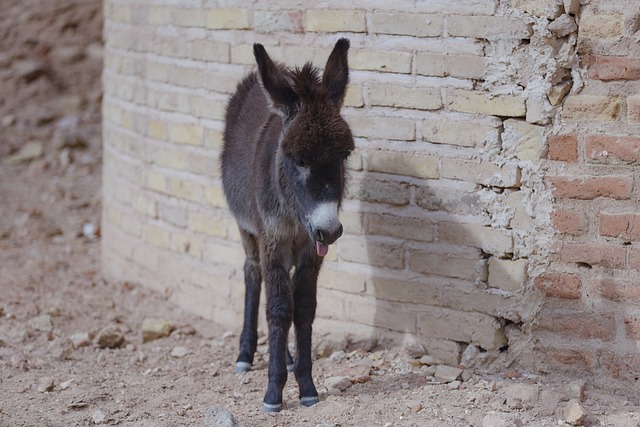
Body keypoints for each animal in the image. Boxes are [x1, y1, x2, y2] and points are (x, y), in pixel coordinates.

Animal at [221, 38, 356, 412]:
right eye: (299, 160)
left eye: (344, 156)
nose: (331, 231)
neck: (297, 219)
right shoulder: (273, 243)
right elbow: (280, 310)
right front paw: (273, 393)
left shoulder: (311, 253)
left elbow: (304, 310)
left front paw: (307, 385)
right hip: (248, 231)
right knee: (252, 274)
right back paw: (246, 353)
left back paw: (288, 356)